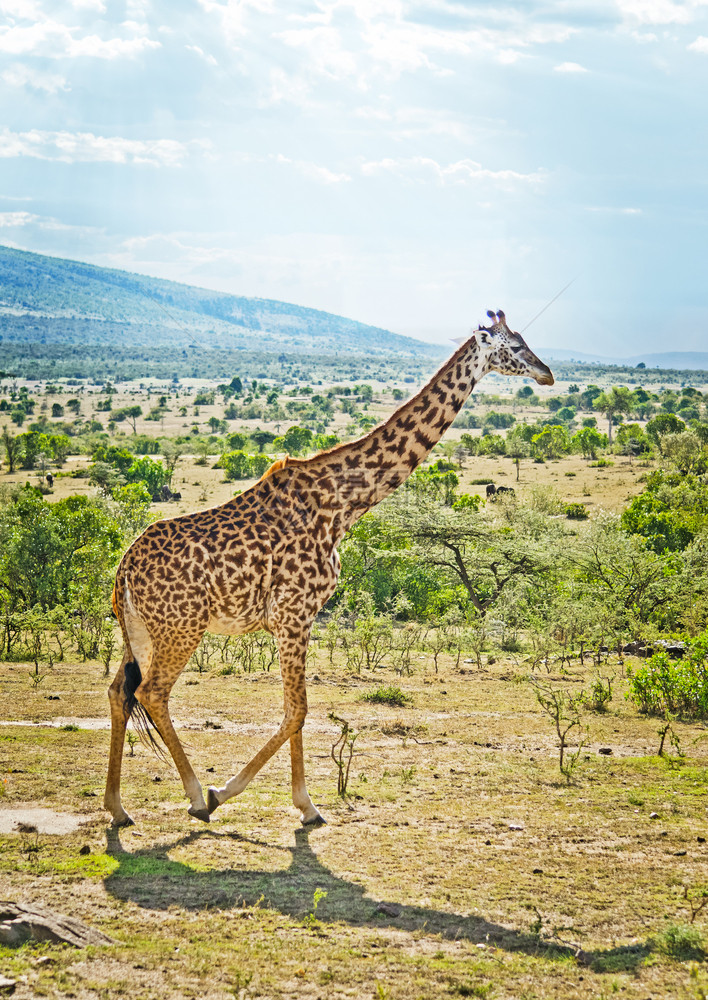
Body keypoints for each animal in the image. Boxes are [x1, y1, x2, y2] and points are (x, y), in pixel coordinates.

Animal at [103, 310, 552, 828]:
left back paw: (117, 807)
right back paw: (196, 796)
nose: (547, 372)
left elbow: (295, 708)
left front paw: (303, 805)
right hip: (182, 627)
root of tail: (123, 570)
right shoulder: (294, 613)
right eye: (511, 347)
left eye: (524, 339)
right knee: (152, 693)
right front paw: (255, 796)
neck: (342, 503)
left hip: (140, 630)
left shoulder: (297, 617)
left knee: (119, 691)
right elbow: (297, 709)